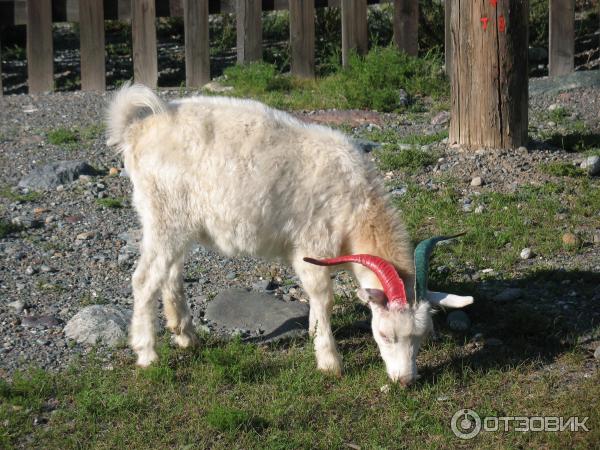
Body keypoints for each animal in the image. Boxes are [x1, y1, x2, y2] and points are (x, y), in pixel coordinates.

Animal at [108, 82, 474, 384]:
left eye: (422, 337)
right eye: (385, 335)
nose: (405, 380)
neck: (357, 203)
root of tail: (137, 131)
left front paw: (313, 332)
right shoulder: (311, 244)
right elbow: (323, 296)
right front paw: (329, 361)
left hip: (174, 222)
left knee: (170, 272)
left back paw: (185, 335)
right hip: (164, 217)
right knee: (144, 279)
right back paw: (147, 353)